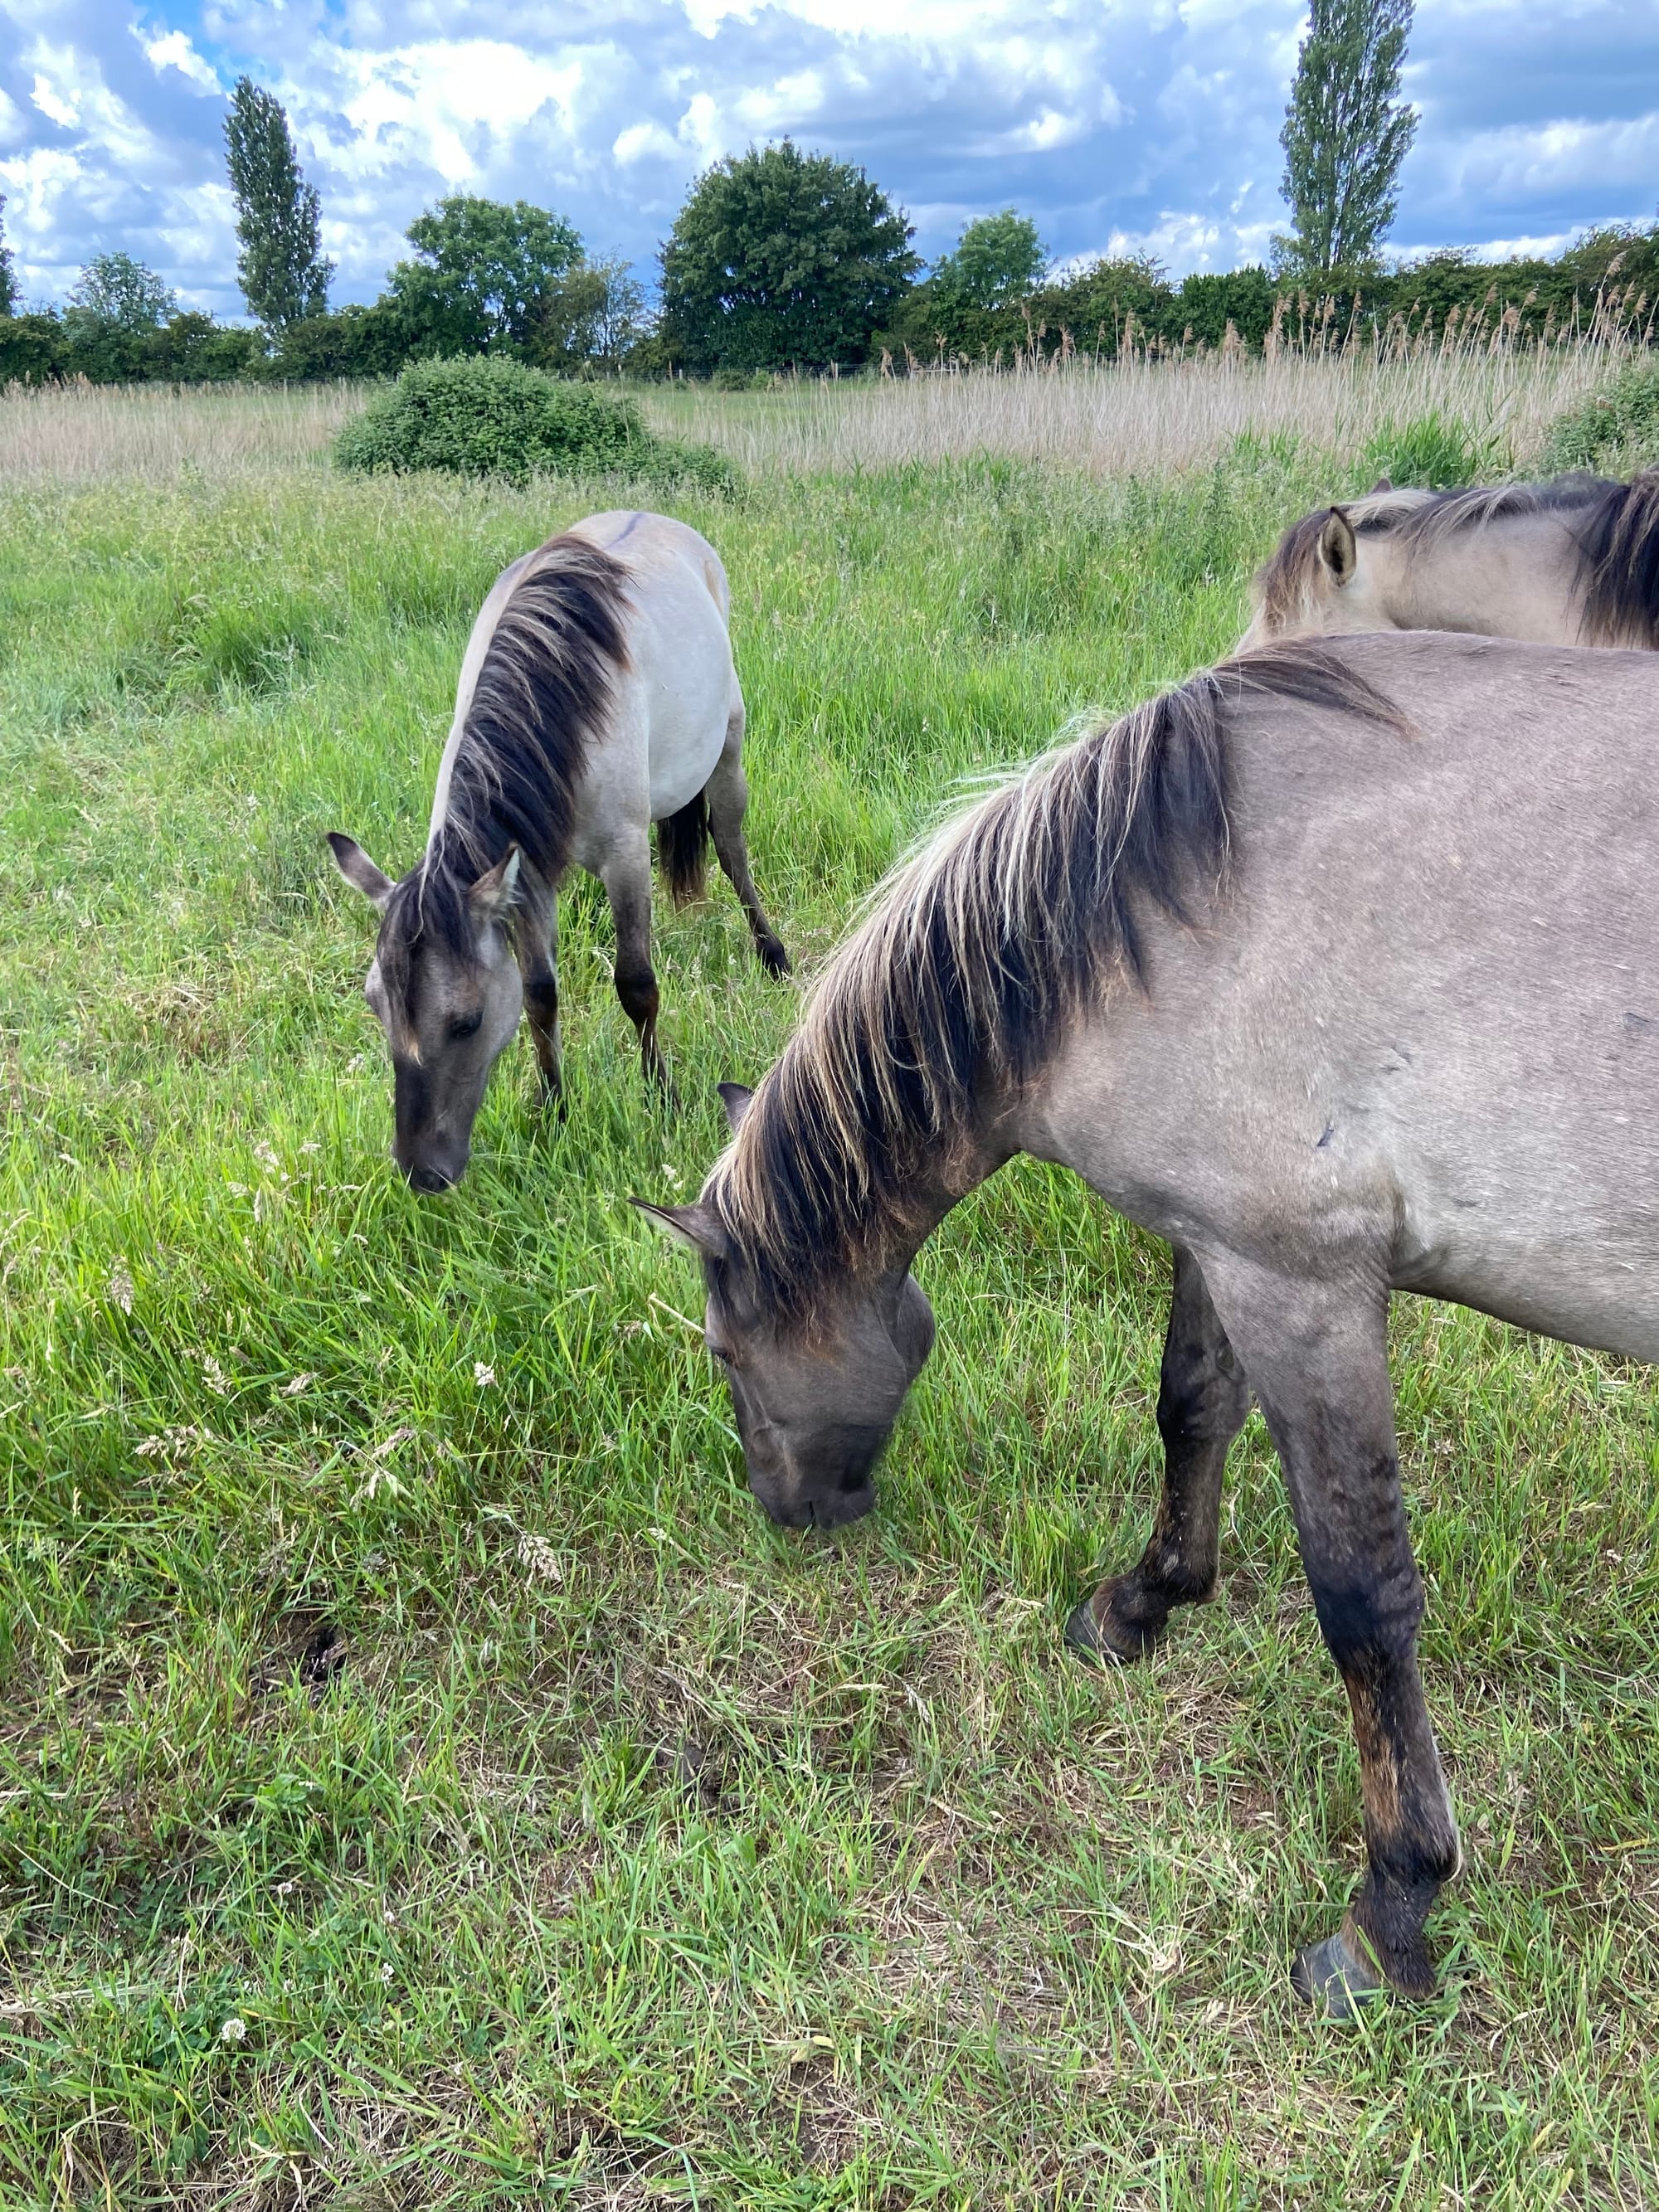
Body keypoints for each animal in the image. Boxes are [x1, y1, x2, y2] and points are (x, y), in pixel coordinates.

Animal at [333, 511, 791, 1194]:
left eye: (466, 1022)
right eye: (374, 1006)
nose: (421, 1172)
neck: (557, 710)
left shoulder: (625, 856)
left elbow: (637, 985)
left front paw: (663, 1097)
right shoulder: (526, 879)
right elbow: (538, 994)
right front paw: (554, 1107)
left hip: (729, 750)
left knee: (732, 849)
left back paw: (772, 953)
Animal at [637, 632, 1659, 2017]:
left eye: (723, 1352)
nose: (785, 1508)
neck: (1167, 901)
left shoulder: (1305, 1288)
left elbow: (1364, 1596)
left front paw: (1393, 1904)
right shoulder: (1223, 1249)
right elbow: (1189, 1410)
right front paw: (1143, 1601)